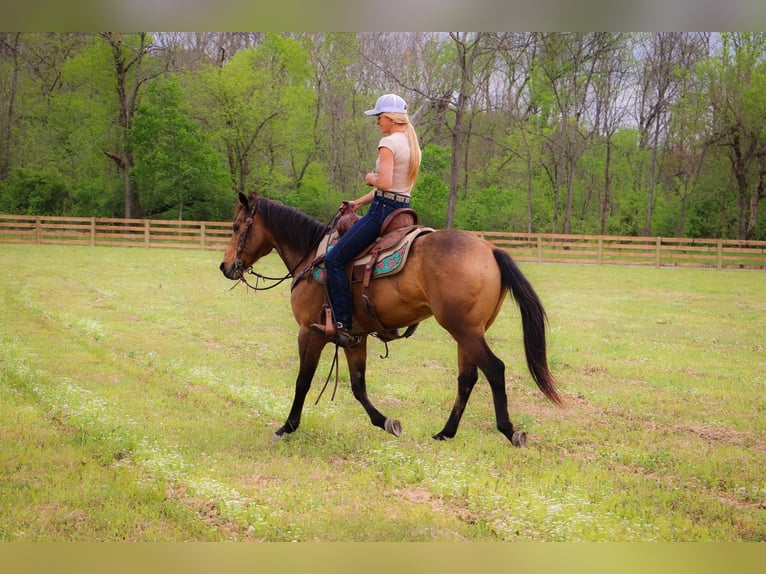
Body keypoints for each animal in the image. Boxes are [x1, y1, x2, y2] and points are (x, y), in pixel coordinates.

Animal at [219, 191, 560, 448]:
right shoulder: (354, 337)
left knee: (494, 369)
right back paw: (445, 433)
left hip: (465, 330)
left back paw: (509, 431)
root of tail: (490, 249)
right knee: (468, 378)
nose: (225, 266)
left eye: (235, 227)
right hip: (468, 332)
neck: (312, 257)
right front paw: (386, 422)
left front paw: (287, 426)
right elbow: (358, 385)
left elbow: (303, 382)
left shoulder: (309, 333)